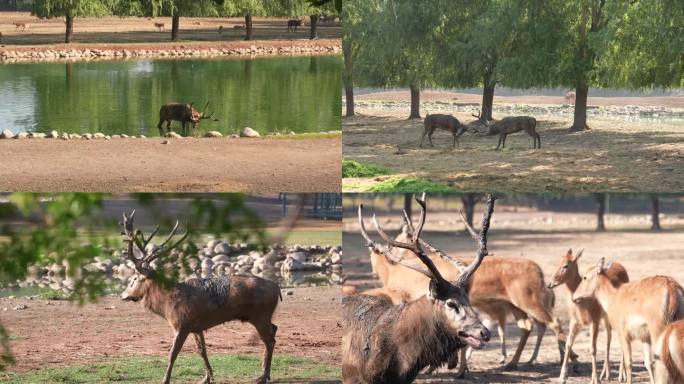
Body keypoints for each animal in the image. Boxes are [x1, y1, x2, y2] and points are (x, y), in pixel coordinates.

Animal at [119, 212, 280, 384]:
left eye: (134, 278)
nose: (123, 295)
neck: (167, 305)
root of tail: (277, 288)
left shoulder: (182, 325)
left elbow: (172, 354)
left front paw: (165, 380)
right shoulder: (197, 327)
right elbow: (202, 351)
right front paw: (207, 378)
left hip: (260, 315)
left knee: (270, 340)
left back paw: (263, 376)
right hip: (263, 317)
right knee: (274, 329)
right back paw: (264, 373)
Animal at [368, 208, 572, 374]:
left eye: (399, 240)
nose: (390, 252)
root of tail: (540, 273)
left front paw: (447, 368)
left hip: (529, 299)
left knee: (553, 322)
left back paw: (567, 363)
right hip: (515, 305)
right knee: (528, 326)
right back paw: (516, 362)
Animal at [548, 249, 628, 384]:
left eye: (566, 265)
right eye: (558, 262)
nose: (550, 283)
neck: (581, 303)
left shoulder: (594, 320)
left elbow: (593, 349)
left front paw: (595, 379)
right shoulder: (575, 320)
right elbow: (568, 343)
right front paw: (562, 377)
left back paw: (621, 376)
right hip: (606, 318)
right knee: (608, 337)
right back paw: (605, 374)